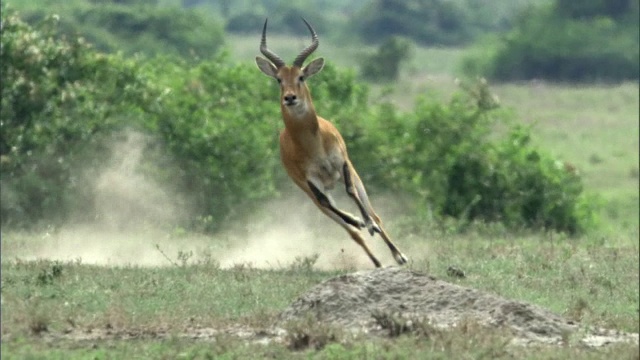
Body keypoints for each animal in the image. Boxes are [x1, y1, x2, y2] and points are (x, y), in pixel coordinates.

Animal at [254, 19, 408, 268]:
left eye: (301, 77)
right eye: (279, 79)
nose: (290, 98)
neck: (313, 144)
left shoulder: (342, 163)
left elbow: (351, 192)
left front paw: (369, 224)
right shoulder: (310, 181)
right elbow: (328, 203)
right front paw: (359, 222)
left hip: (355, 176)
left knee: (373, 212)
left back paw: (397, 253)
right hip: (310, 191)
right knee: (346, 225)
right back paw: (375, 257)